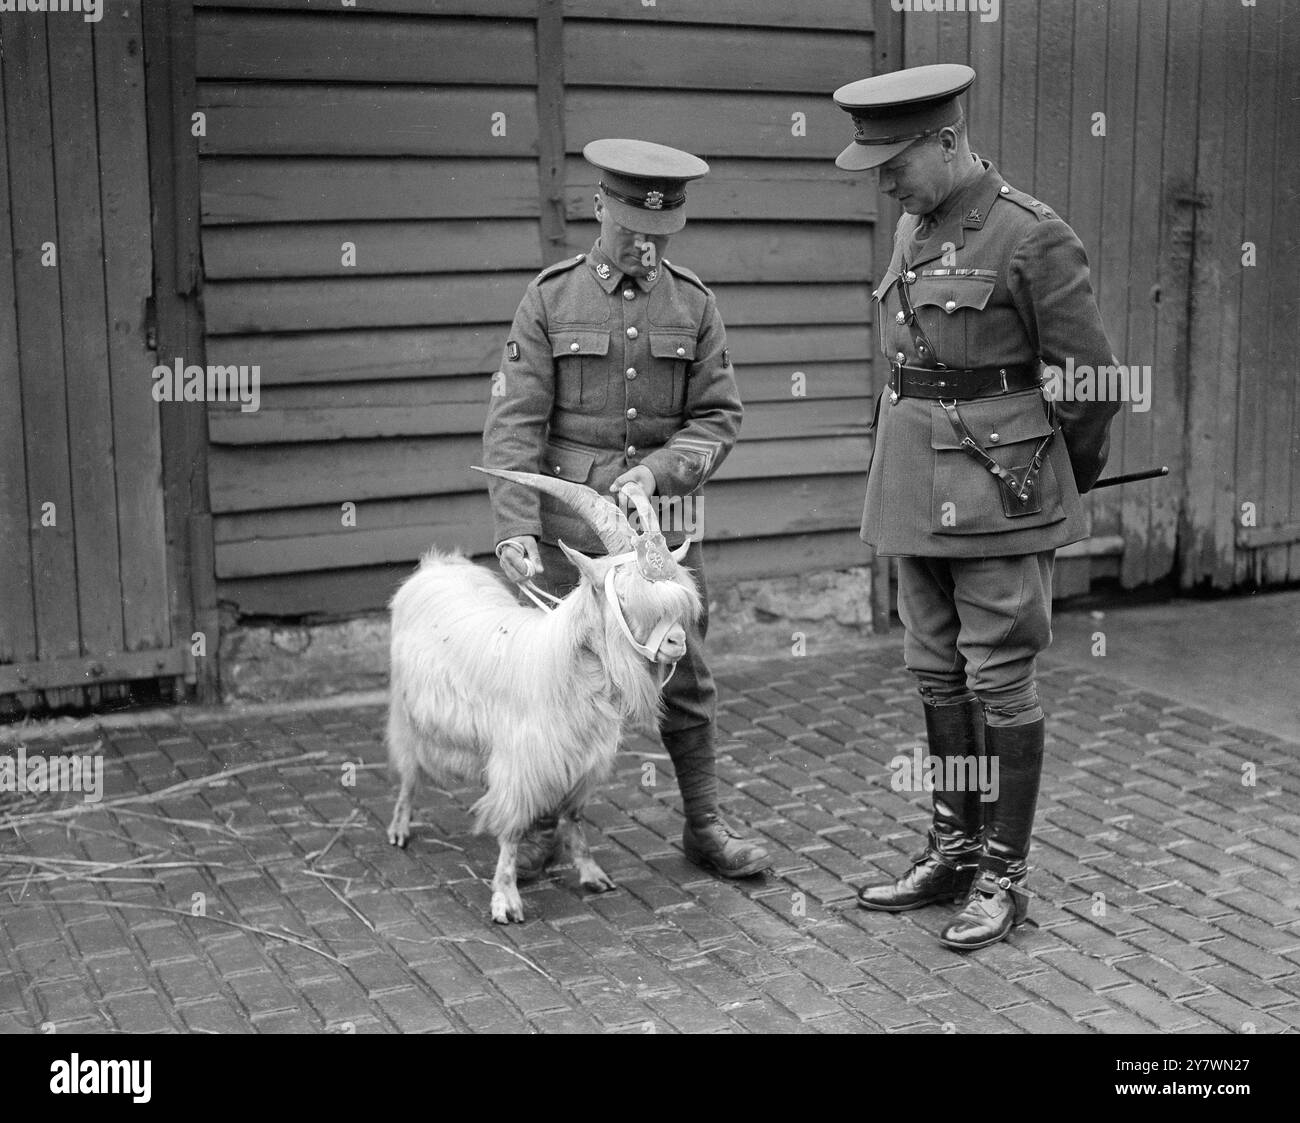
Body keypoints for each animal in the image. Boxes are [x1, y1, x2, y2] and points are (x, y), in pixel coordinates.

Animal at [384, 465, 702, 920]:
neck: (563, 671)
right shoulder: (521, 763)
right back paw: (399, 828)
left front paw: (591, 873)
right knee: (409, 771)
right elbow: (513, 828)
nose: (677, 643)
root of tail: (438, 565)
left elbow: (574, 816)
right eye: (623, 596)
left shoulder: (584, 763)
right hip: (406, 711)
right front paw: (506, 897)